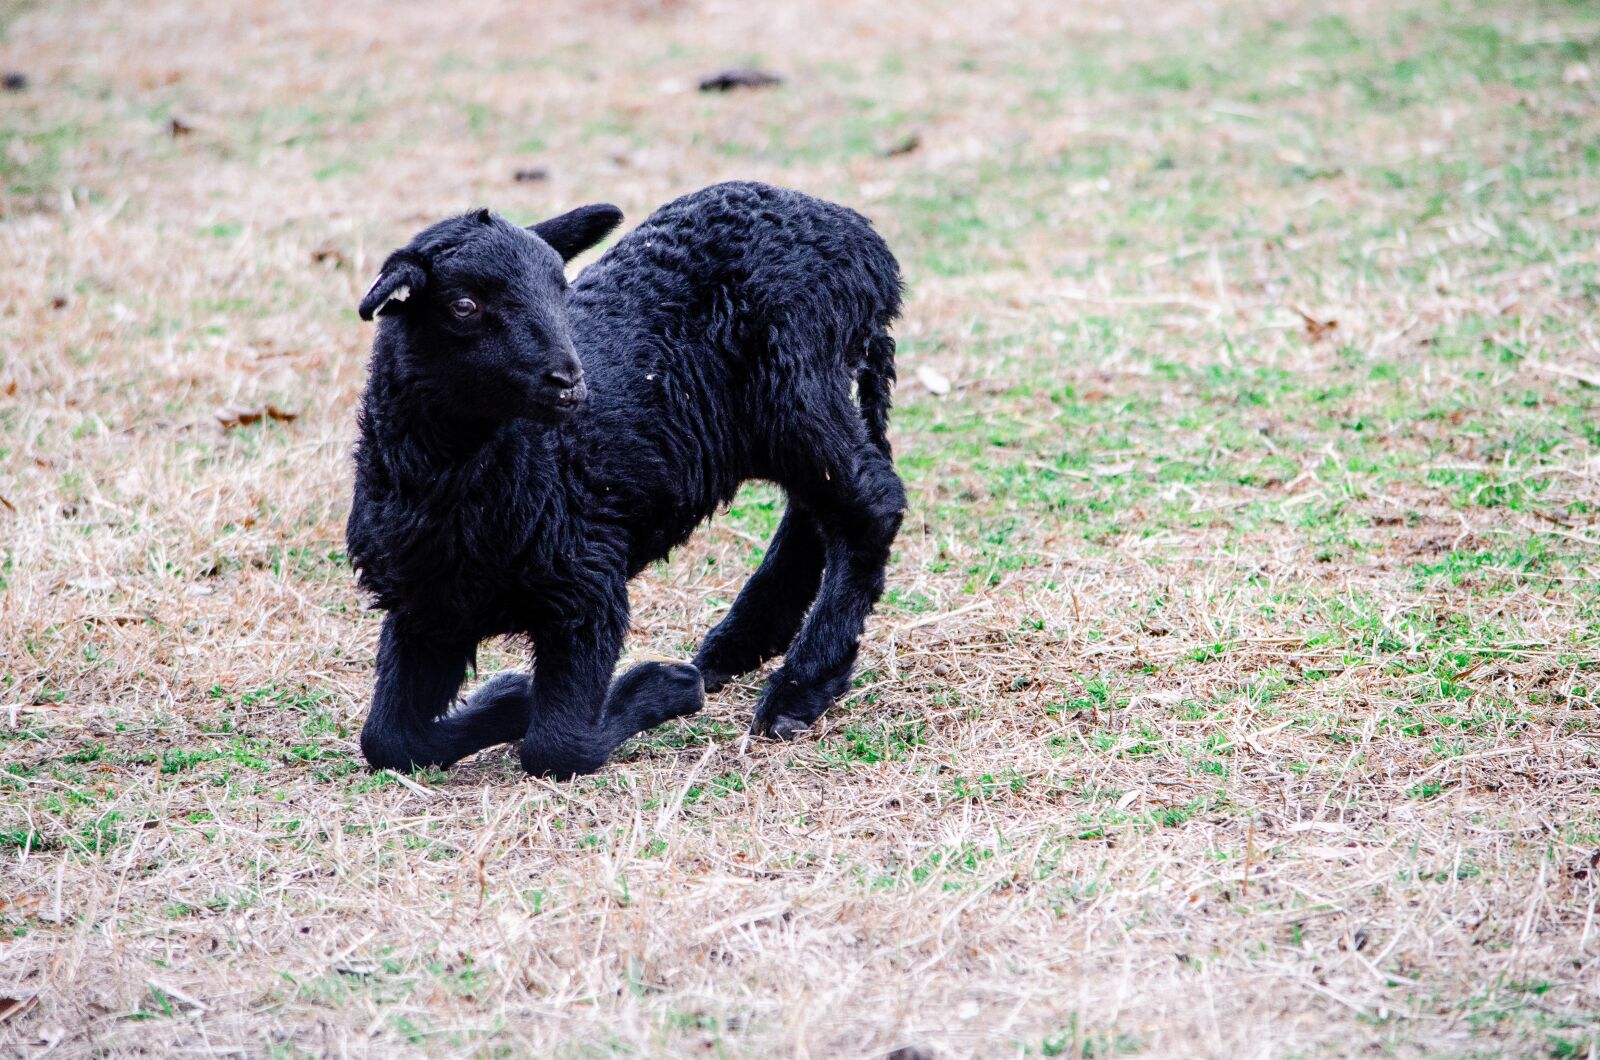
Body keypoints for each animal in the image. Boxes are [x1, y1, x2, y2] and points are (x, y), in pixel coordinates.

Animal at [347, 181, 905, 778]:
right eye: (463, 306)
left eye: (561, 290)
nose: (570, 380)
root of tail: (858, 236)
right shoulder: (427, 606)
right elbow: (389, 741)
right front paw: (513, 698)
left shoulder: (587, 586)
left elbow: (558, 745)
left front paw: (663, 686)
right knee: (819, 510)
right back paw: (738, 647)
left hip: (796, 389)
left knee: (870, 506)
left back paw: (795, 692)